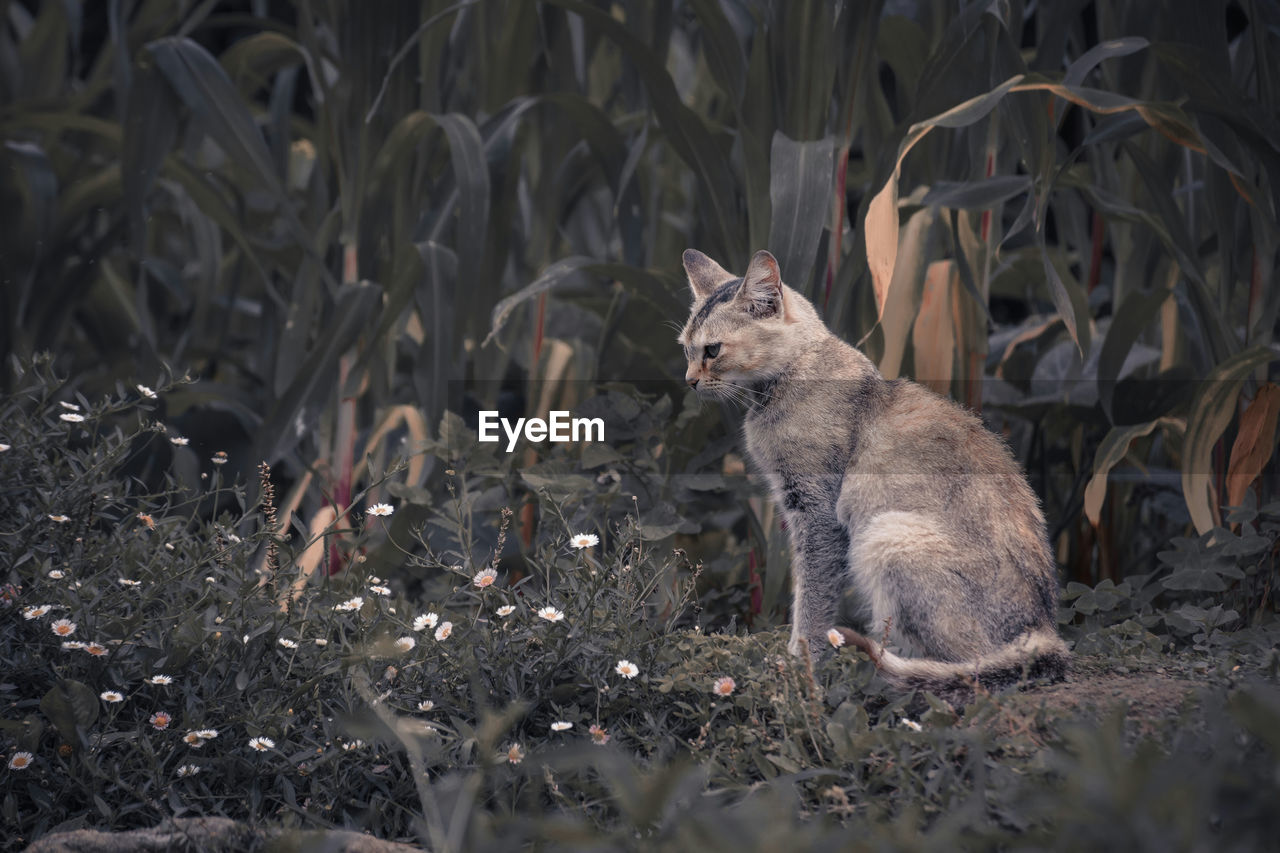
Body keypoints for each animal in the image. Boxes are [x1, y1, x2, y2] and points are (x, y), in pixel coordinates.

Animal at [680, 245, 1070, 696]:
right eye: (686, 350)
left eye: (712, 351)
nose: (688, 381)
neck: (798, 371)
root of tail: (1045, 631)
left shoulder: (817, 515)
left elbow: (811, 604)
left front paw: (800, 664)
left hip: (886, 537)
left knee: (966, 671)